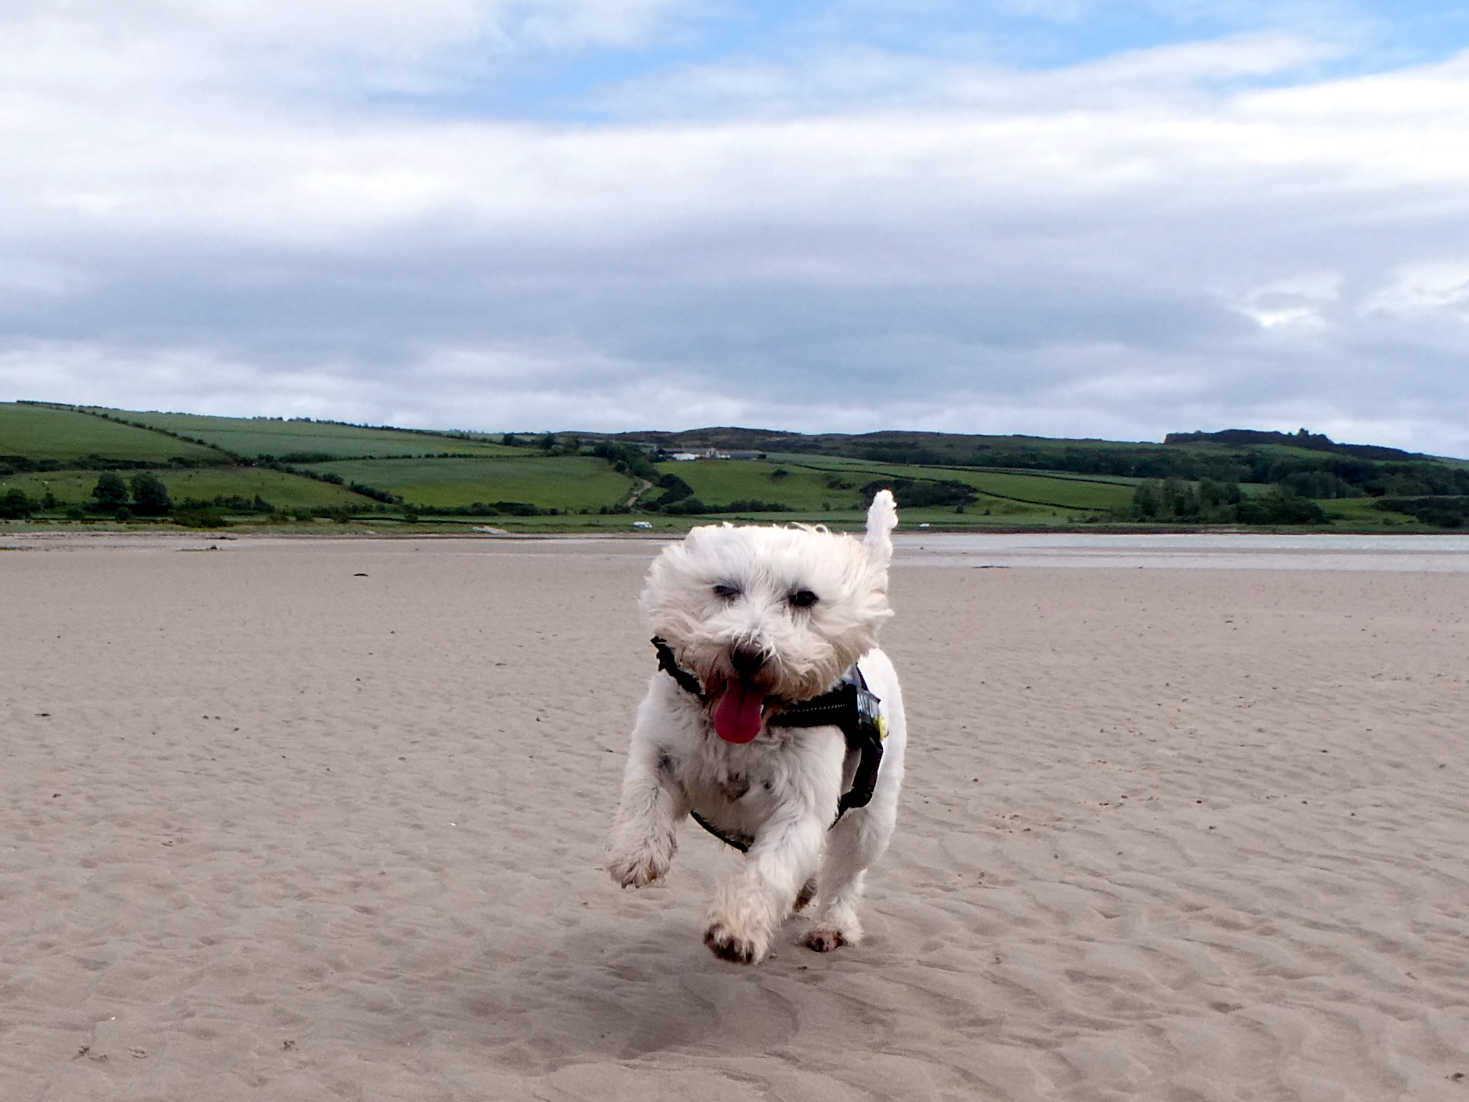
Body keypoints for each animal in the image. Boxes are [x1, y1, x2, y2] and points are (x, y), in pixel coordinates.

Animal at [602, 493, 899, 963]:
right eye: (724, 589)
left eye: (804, 597)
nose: (747, 653)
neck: (747, 729)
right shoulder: (659, 747)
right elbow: (643, 794)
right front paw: (635, 855)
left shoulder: (802, 806)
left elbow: (771, 869)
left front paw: (736, 930)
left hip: (872, 816)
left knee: (845, 873)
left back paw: (831, 926)